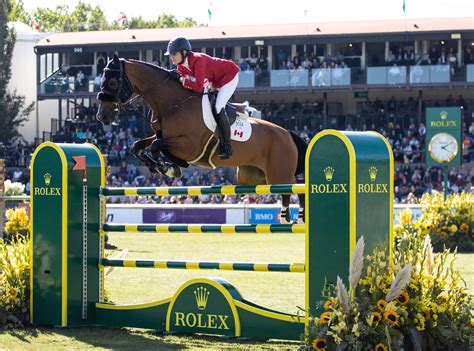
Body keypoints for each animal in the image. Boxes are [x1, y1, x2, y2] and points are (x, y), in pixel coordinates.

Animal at [96, 54, 308, 223]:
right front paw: (157, 166)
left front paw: (168, 167)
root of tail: (287, 134)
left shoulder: (190, 146)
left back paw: (295, 218)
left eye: (113, 82)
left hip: (279, 174)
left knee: (296, 188)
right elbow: (138, 145)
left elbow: (157, 146)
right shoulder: (161, 134)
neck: (173, 103)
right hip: (255, 177)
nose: (102, 116)